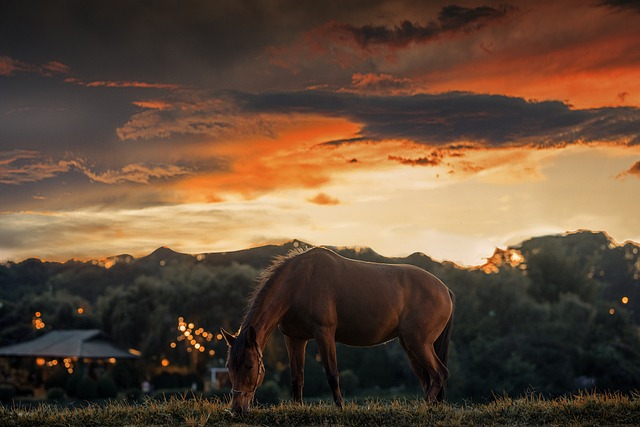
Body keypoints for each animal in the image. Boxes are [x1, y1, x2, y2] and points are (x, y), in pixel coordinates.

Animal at [222, 247, 452, 414]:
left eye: (250, 366)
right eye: (229, 366)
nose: (237, 409)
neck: (300, 282)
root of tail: (445, 289)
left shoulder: (324, 334)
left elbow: (332, 374)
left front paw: (340, 408)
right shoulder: (294, 339)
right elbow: (297, 377)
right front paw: (297, 407)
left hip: (418, 343)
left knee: (440, 373)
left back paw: (426, 407)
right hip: (409, 345)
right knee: (427, 378)